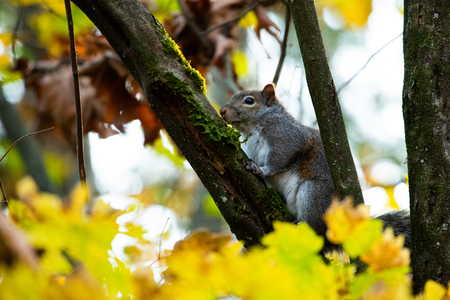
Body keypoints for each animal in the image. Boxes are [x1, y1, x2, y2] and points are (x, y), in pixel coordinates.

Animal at [219, 83, 412, 252]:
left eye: (249, 101)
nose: (222, 111)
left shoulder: (286, 138)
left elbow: (279, 160)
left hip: (314, 193)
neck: (255, 127)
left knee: (317, 228)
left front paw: (260, 169)